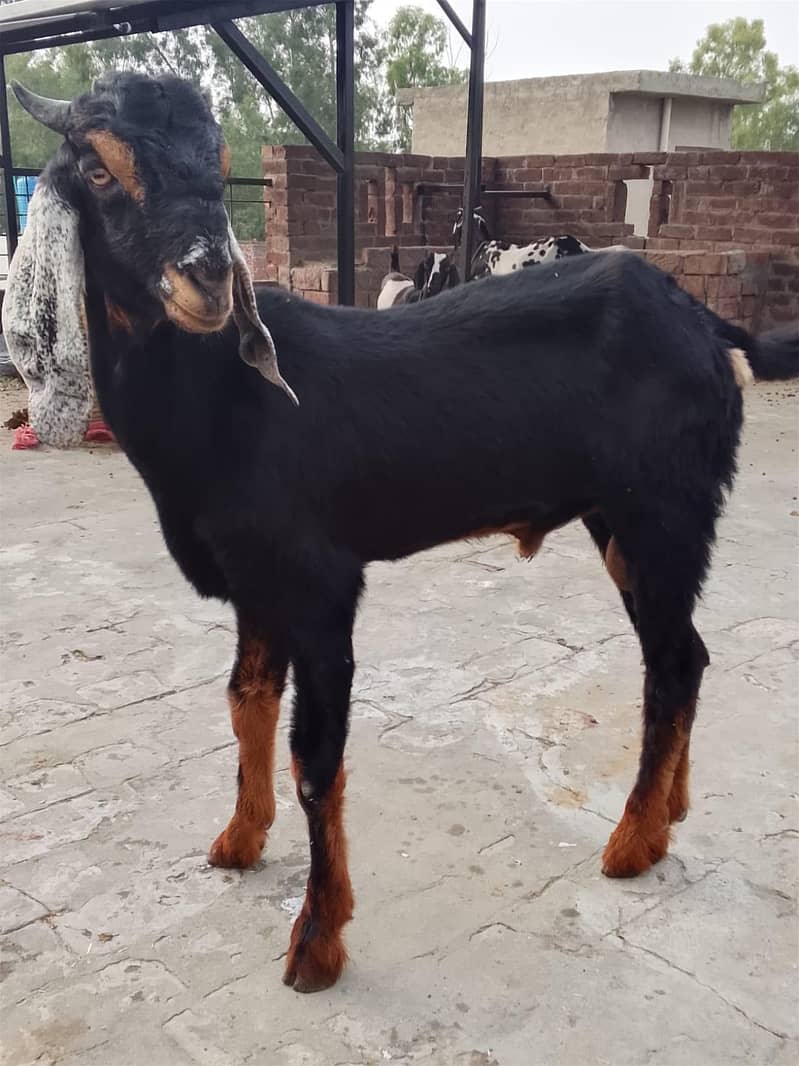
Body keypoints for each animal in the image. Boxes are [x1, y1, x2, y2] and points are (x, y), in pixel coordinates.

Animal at [5, 73, 799, 994]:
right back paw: (667, 812)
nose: (208, 278)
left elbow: (316, 758)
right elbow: (245, 701)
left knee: (670, 666)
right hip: (629, 523)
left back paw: (631, 844)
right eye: (99, 171)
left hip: (661, 510)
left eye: (219, 163)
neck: (223, 404)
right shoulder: (255, 582)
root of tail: (705, 324)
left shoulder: (319, 583)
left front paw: (316, 942)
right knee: (686, 655)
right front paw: (238, 840)